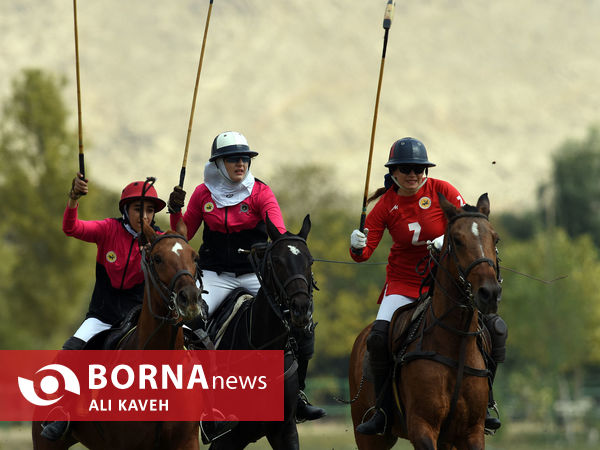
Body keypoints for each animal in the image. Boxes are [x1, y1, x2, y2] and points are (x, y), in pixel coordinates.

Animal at [350, 193, 504, 450]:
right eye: (457, 240)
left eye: (495, 238)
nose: (489, 293)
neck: (456, 341)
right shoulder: (422, 426)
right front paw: (359, 242)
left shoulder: (471, 432)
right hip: (368, 435)